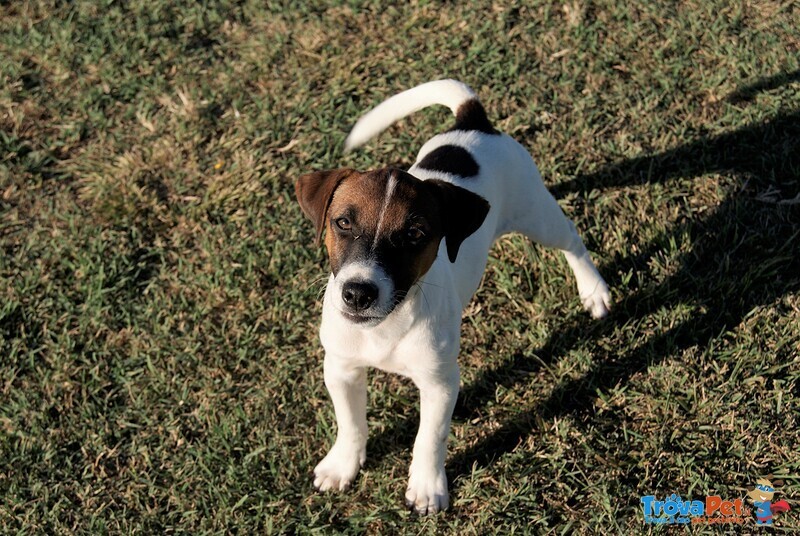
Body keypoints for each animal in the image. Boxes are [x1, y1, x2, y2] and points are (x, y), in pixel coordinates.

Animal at [296, 80, 612, 516]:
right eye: (342, 223)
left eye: (414, 235)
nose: (358, 293)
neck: (388, 323)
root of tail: (472, 123)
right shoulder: (341, 368)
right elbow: (351, 423)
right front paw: (342, 465)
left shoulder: (440, 383)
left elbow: (430, 438)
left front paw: (427, 487)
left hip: (537, 217)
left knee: (571, 236)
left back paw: (594, 291)